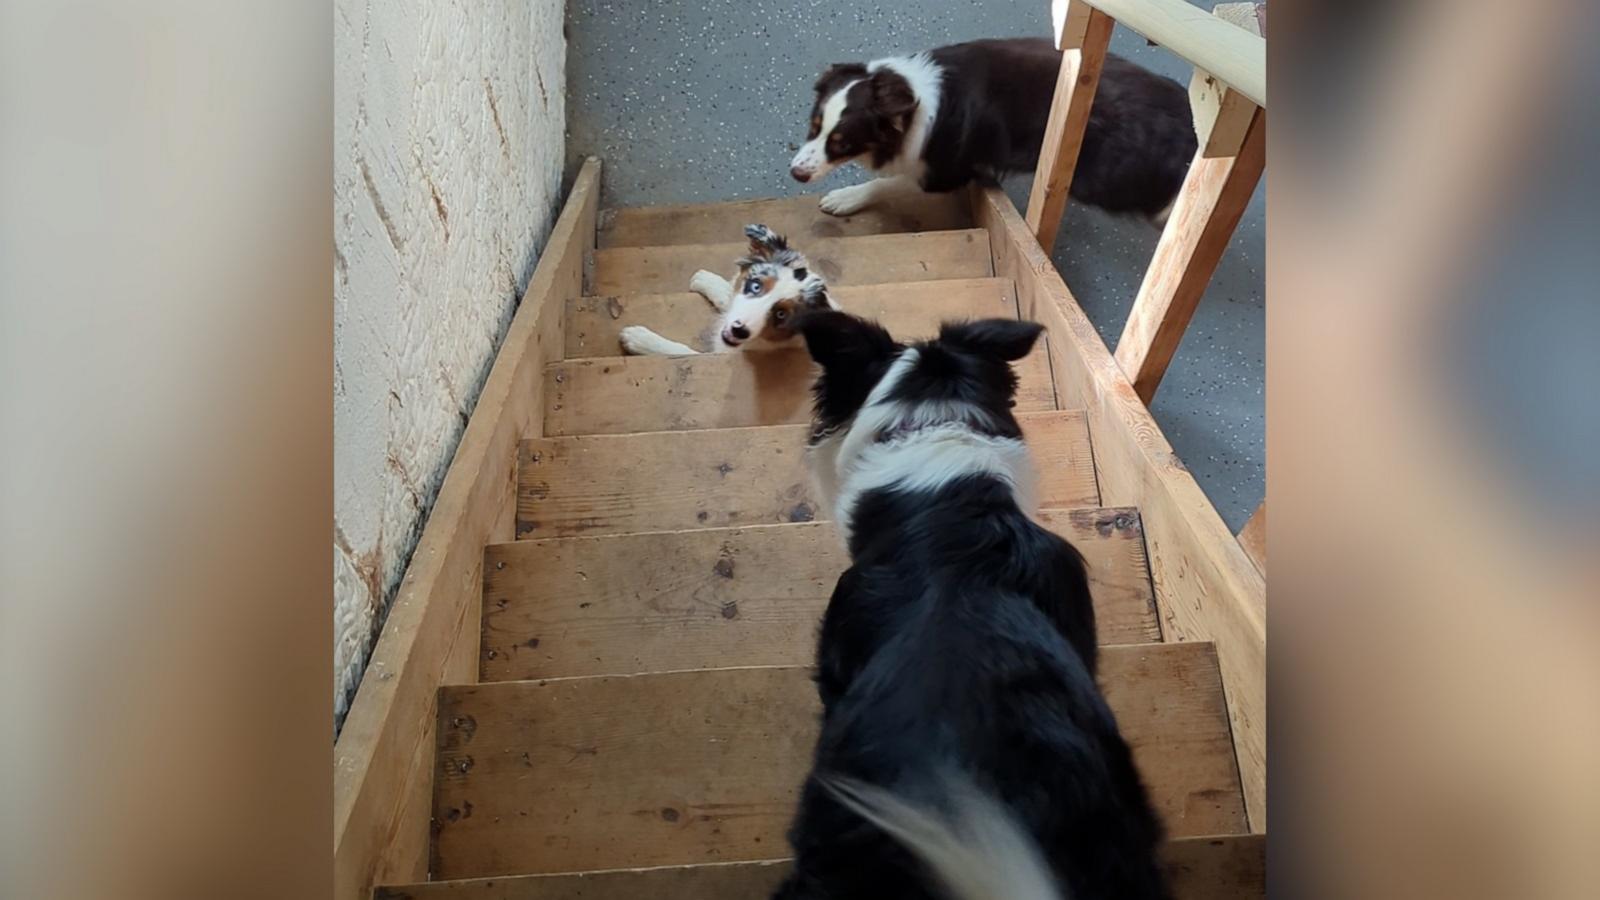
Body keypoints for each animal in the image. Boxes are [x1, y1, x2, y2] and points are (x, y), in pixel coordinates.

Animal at [614, 222, 838, 355]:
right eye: (755, 285)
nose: (739, 330)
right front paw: (706, 279)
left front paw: (639, 339)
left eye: (781, 315)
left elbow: (683, 352)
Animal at [793, 38, 1196, 225]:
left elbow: (889, 182)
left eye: (841, 143)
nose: (796, 174)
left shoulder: (947, 171)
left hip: (1100, 178)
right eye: (813, 127)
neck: (907, 97)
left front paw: (846, 197)